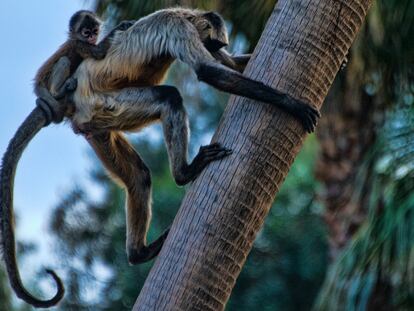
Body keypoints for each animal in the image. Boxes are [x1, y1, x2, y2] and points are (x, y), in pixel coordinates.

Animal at [0, 9, 132, 310]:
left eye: (93, 29)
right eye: (86, 32)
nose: (92, 35)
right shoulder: (79, 46)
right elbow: (98, 53)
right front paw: (122, 26)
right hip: (52, 80)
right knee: (62, 62)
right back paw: (61, 91)